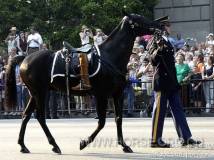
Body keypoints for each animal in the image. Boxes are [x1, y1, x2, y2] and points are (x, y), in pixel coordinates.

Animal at [4, 13, 162, 154]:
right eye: (140, 19)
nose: (159, 25)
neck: (109, 57)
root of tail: (25, 58)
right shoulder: (101, 95)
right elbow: (102, 122)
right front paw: (84, 142)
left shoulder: (117, 94)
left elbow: (118, 119)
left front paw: (124, 145)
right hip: (40, 93)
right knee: (40, 117)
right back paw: (54, 145)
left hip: (34, 93)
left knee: (26, 115)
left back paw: (23, 145)